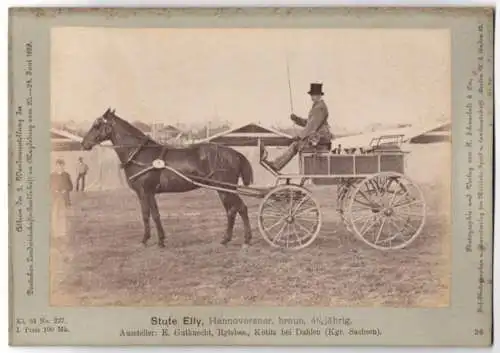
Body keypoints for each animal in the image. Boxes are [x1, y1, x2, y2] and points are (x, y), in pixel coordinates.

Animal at [82, 107, 256, 248]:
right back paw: (226, 239)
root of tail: (234, 153)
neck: (139, 154)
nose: (84, 143)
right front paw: (160, 240)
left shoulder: (145, 192)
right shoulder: (147, 193)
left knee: (240, 208)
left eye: (97, 125)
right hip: (222, 190)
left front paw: (147, 240)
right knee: (232, 211)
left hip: (226, 188)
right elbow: (154, 214)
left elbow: (147, 215)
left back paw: (246, 240)